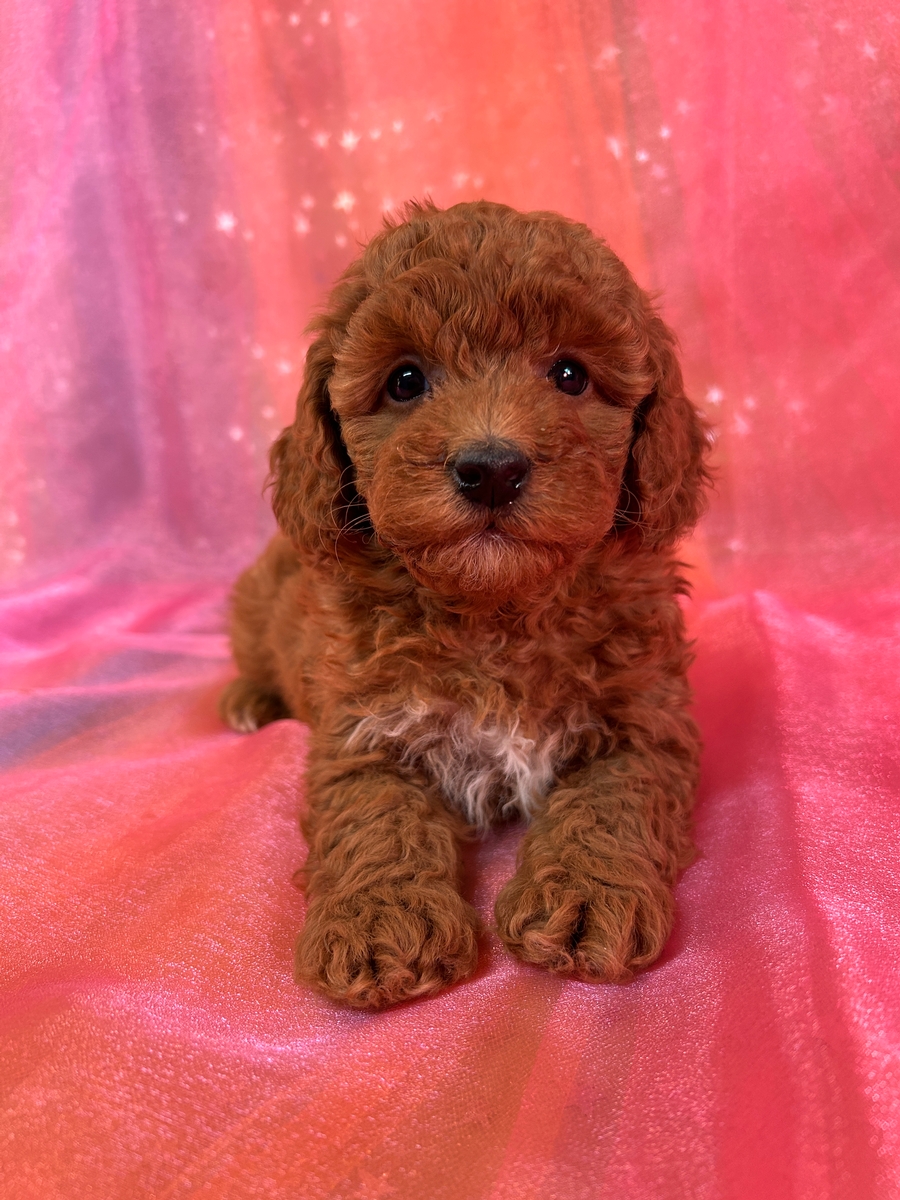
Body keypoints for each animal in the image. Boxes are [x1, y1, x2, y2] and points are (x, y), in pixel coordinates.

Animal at [220, 201, 710, 1008]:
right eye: (405, 380)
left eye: (570, 374)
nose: (492, 468)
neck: (494, 610)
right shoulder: (364, 731)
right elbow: (375, 818)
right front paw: (379, 921)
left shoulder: (646, 723)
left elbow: (610, 803)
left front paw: (585, 897)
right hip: (253, 606)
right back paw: (246, 700)